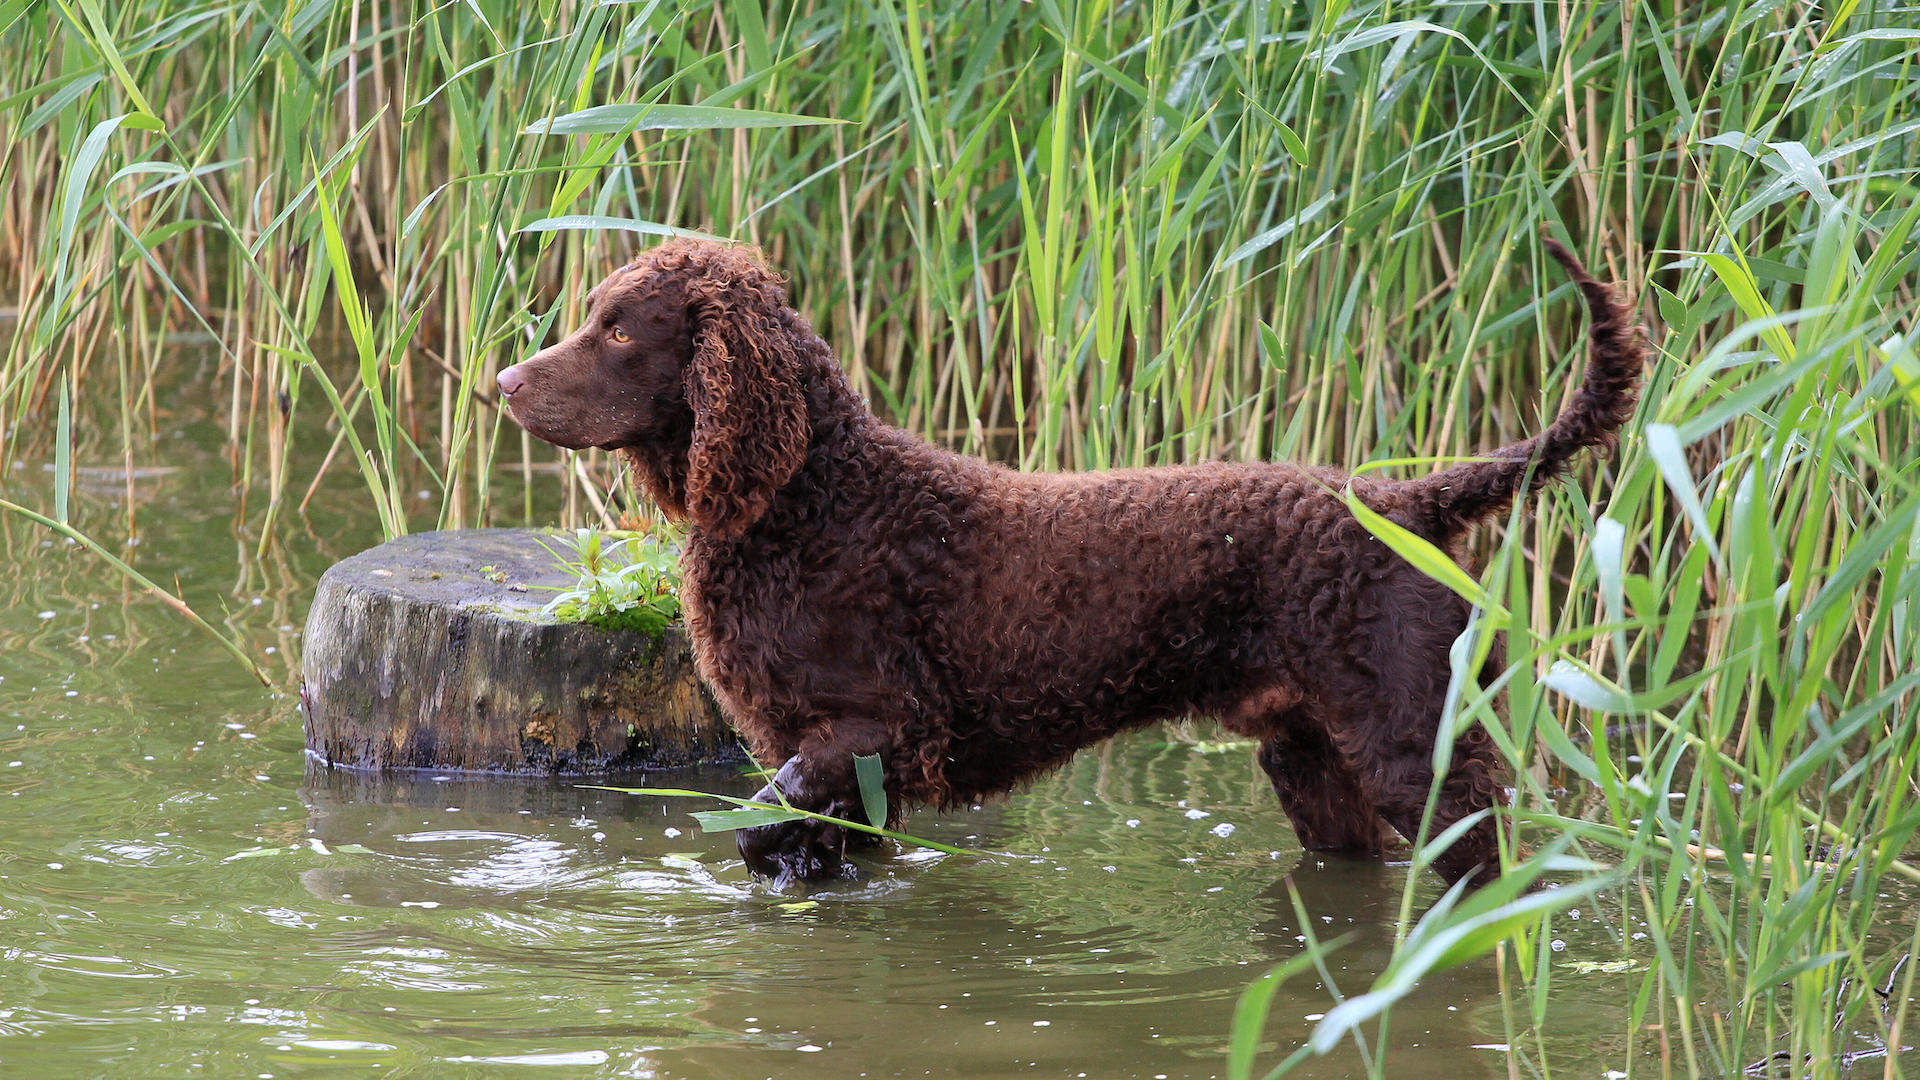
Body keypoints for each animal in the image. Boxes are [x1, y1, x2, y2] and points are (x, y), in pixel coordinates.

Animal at [503, 239, 1643, 887]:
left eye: (619, 330)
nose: (504, 382)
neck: (809, 498)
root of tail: (1406, 501)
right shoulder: (841, 761)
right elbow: (800, 840)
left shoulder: (879, 728)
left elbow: (755, 826)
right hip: (1314, 763)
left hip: (1417, 750)